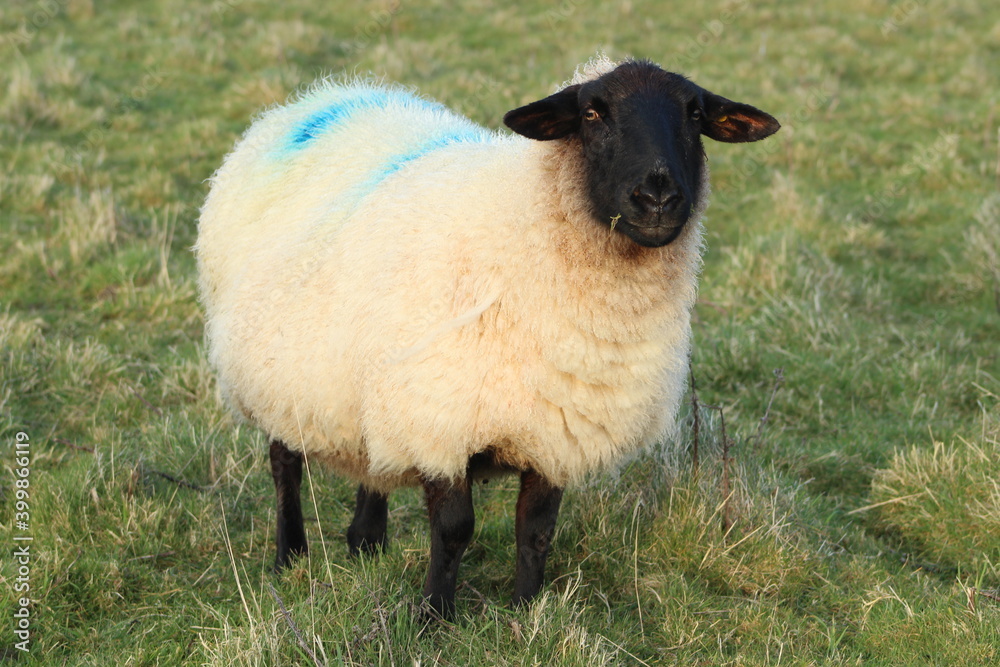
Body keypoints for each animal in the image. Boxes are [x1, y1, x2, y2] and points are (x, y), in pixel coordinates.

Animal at [196, 55, 780, 618]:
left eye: (695, 115)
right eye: (593, 113)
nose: (657, 195)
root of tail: (322, 98)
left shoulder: (555, 430)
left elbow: (537, 530)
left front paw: (526, 612)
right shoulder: (440, 421)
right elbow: (455, 530)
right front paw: (434, 617)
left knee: (372, 466)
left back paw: (367, 545)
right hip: (277, 370)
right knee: (284, 467)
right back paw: (289, 557)